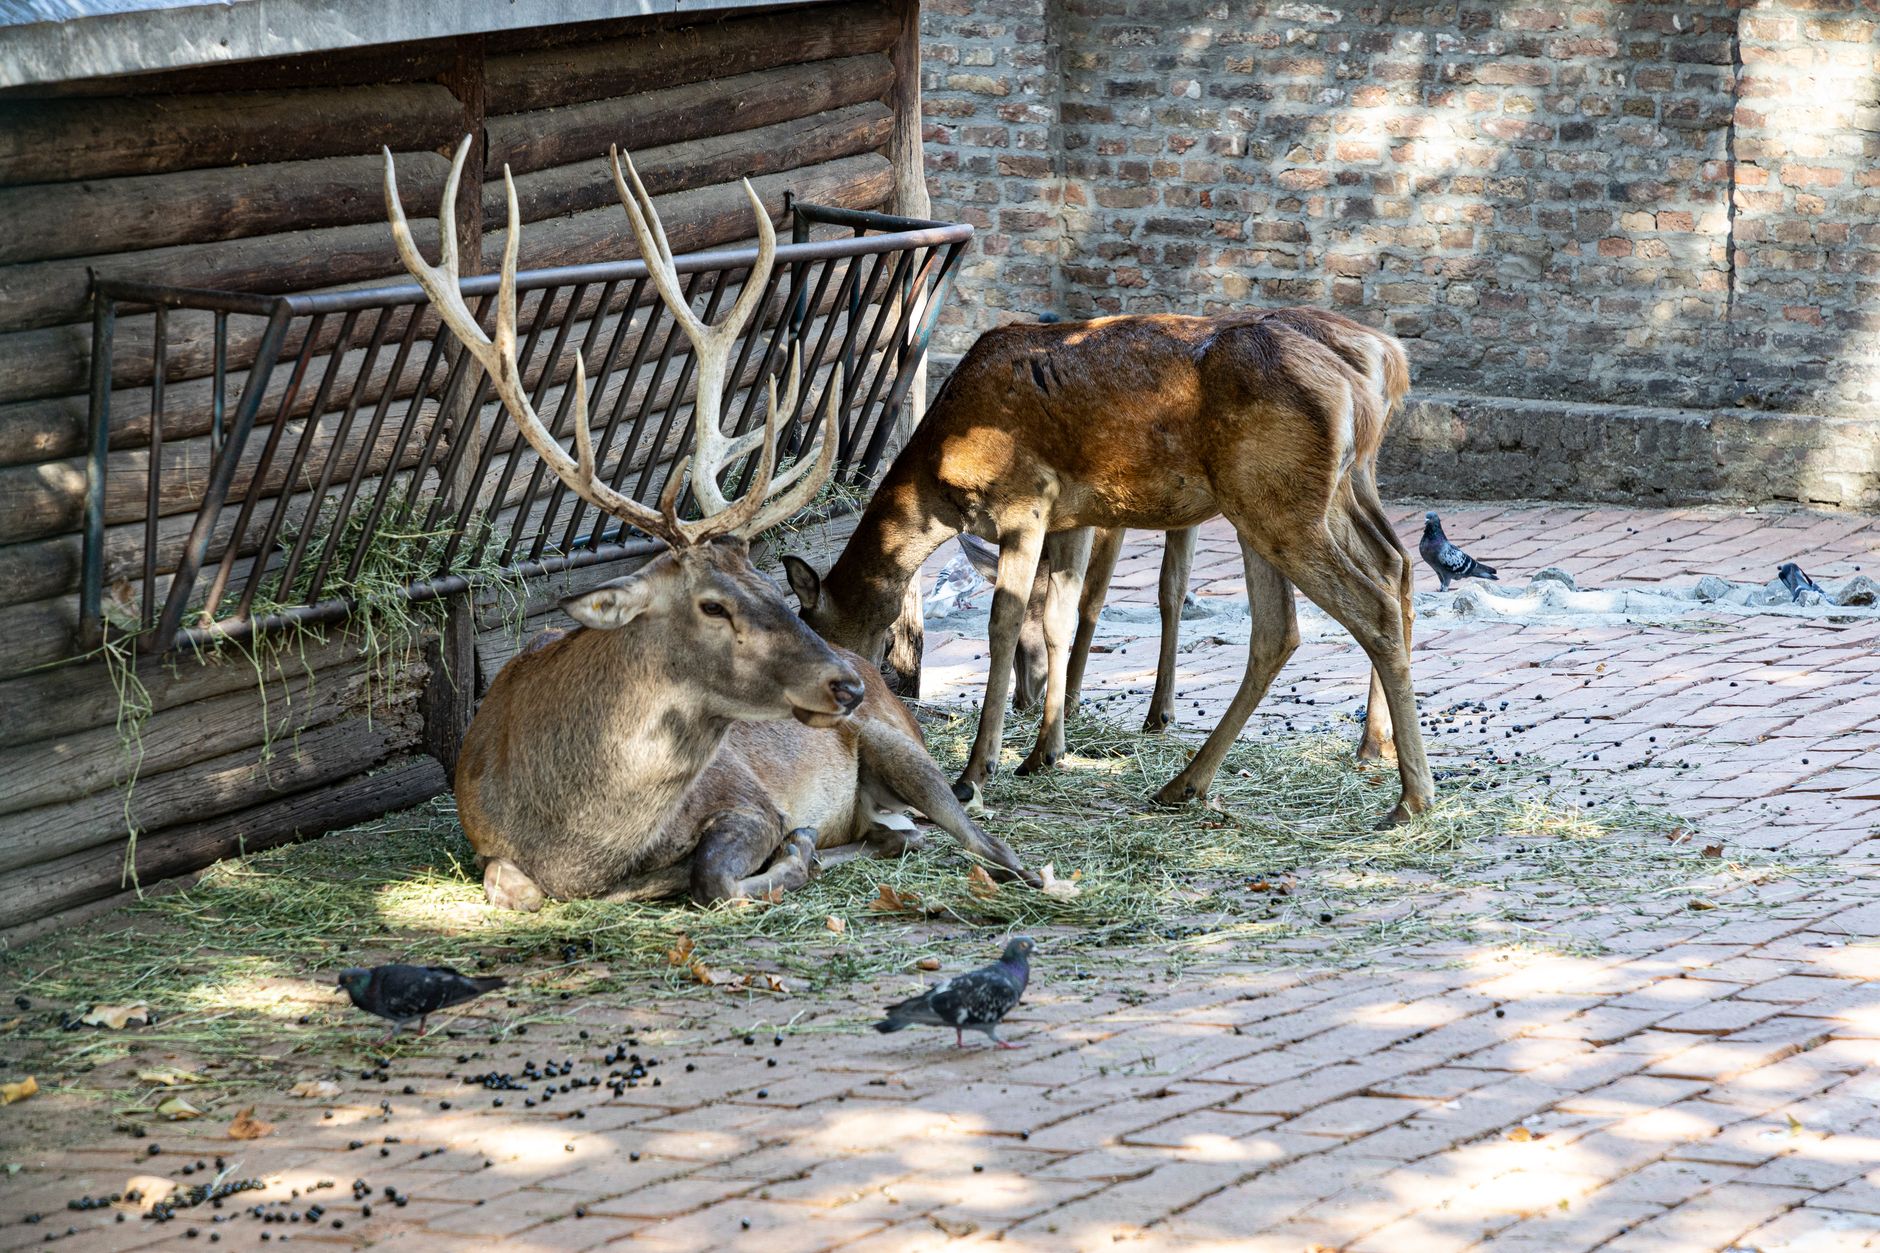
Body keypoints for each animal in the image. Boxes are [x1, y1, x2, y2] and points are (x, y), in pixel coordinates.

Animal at [385, 135, 1031, 908]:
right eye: (713, 605)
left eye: (771, 588)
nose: (843, 682)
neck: (576, 841)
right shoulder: (487, 843)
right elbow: (515, 886)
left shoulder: (747, 798)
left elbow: (714, 875)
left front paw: (790, 853)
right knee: (896, 833)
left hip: (901, 747)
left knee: (983, 840)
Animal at [782, 306, 1432, 823]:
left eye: (814, 630)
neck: (941, 473)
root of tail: (1368, 375)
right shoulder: (1070, 516)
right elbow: (1060, 619)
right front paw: (1045, 752)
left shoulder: (1025, 502)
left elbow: (1003, 625)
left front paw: (976, 771)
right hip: (1307, 497)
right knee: (1345, 593)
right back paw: (1187, 783)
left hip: (1279, 500)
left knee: (1367, 603)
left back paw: (1411, 798)